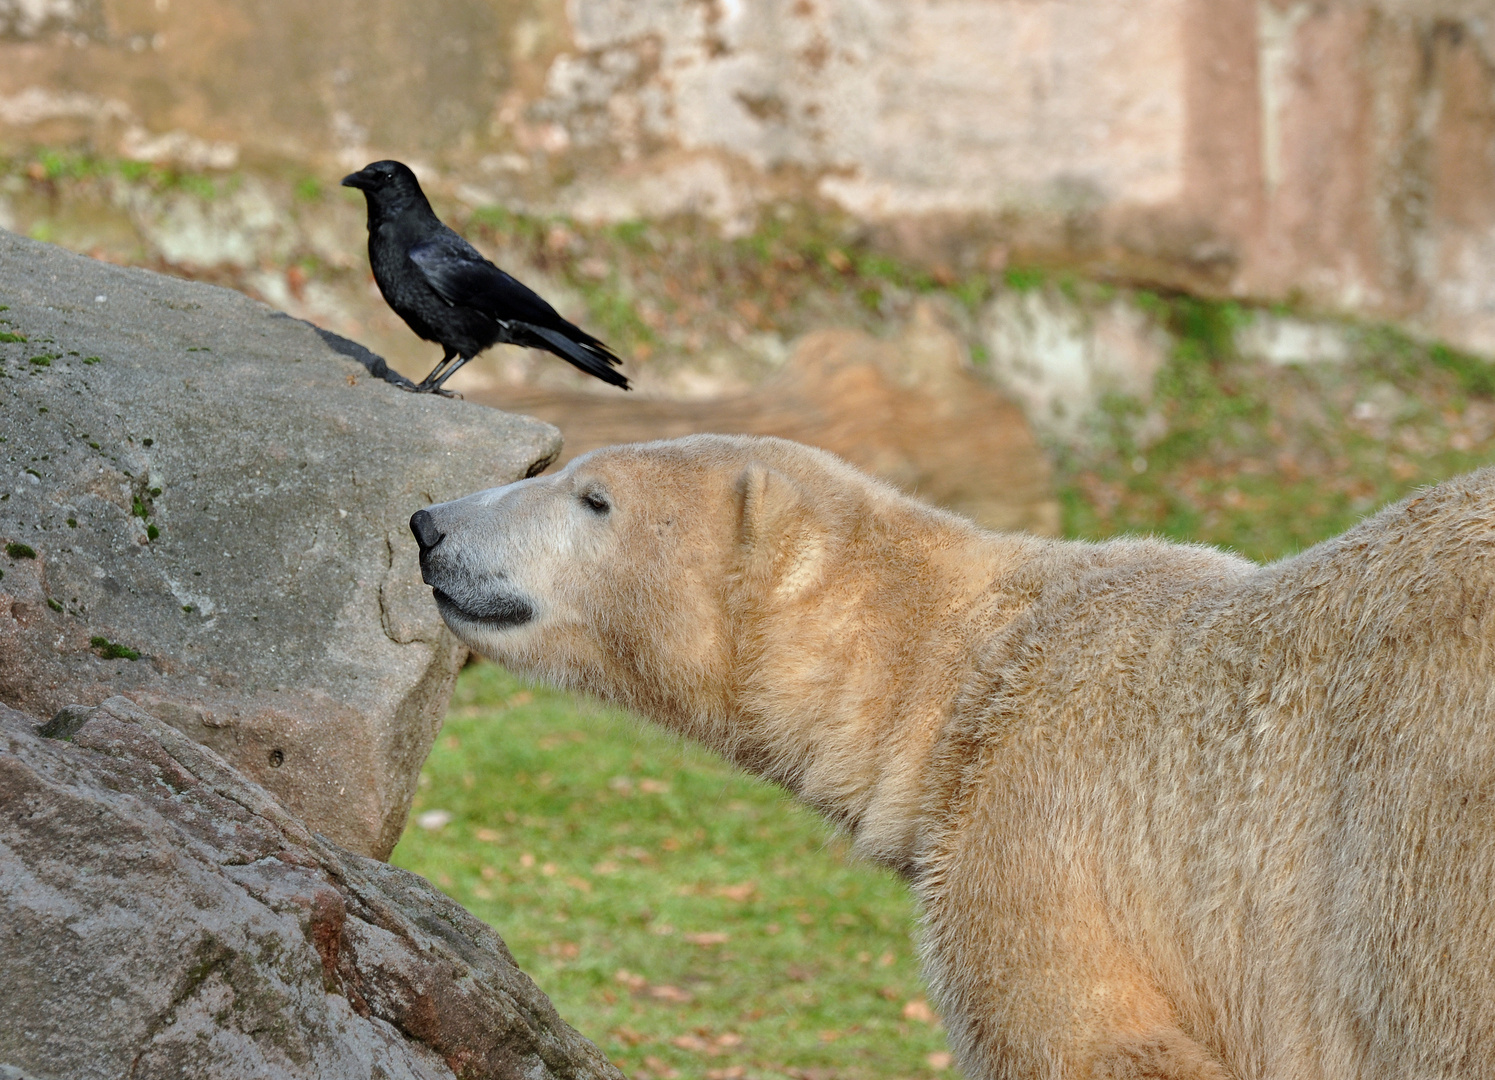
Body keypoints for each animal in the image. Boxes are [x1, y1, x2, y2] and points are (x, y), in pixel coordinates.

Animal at [409, 433, 1495, 1077]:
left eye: (592, 498)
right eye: (564, 471)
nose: (429, 523)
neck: (969, 676)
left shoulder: (1048, 843)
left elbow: (1091, 1037)